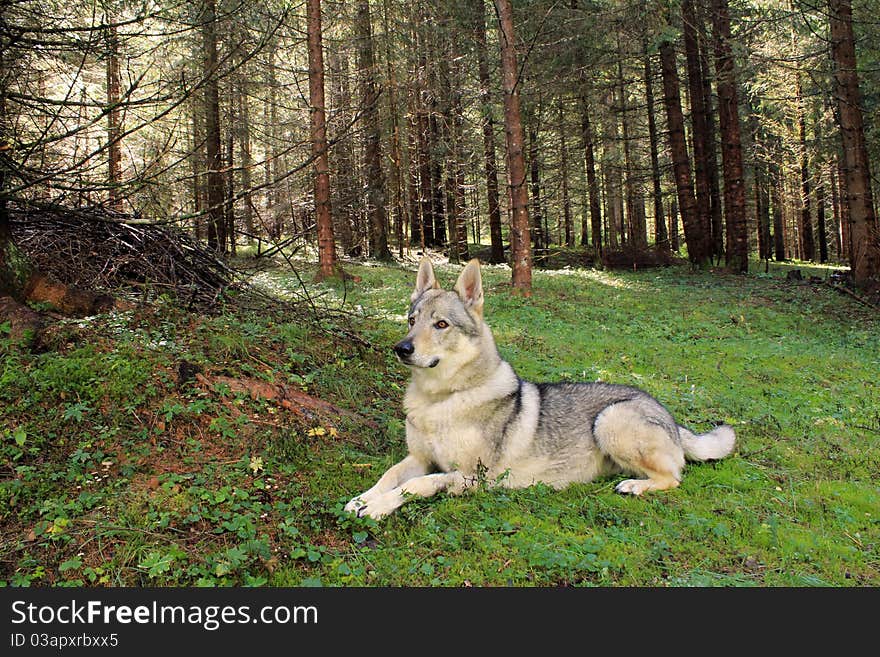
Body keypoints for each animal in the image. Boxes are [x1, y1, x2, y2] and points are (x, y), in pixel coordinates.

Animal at [344, 256, 736, 516]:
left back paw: (635, 487)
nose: (402, 348)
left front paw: (378, 507)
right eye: (412, 321)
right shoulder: (419, 458)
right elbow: (389, 475)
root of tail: (669, 416)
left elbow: (415, 485)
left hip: (610, 420)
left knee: (674, 477)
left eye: (441, 324)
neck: (440, 400)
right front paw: (363, 499)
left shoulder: (472, 477)